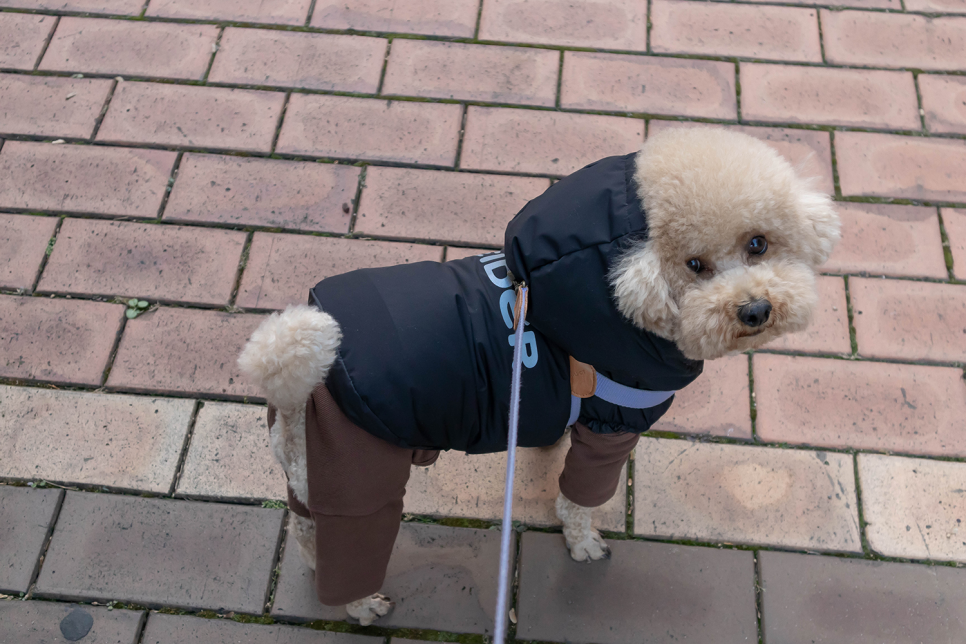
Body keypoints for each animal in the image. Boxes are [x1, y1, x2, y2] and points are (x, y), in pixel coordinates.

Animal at [240, 126, 840, 624]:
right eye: (695, 266)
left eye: (758, 243)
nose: (755, 310)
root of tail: (294, 383)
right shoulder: (610, 429)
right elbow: (579, 500)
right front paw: (583, 545)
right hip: (359, 480)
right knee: (351, 549)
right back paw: (362, 604)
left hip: (311, 478)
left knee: (306, 530)